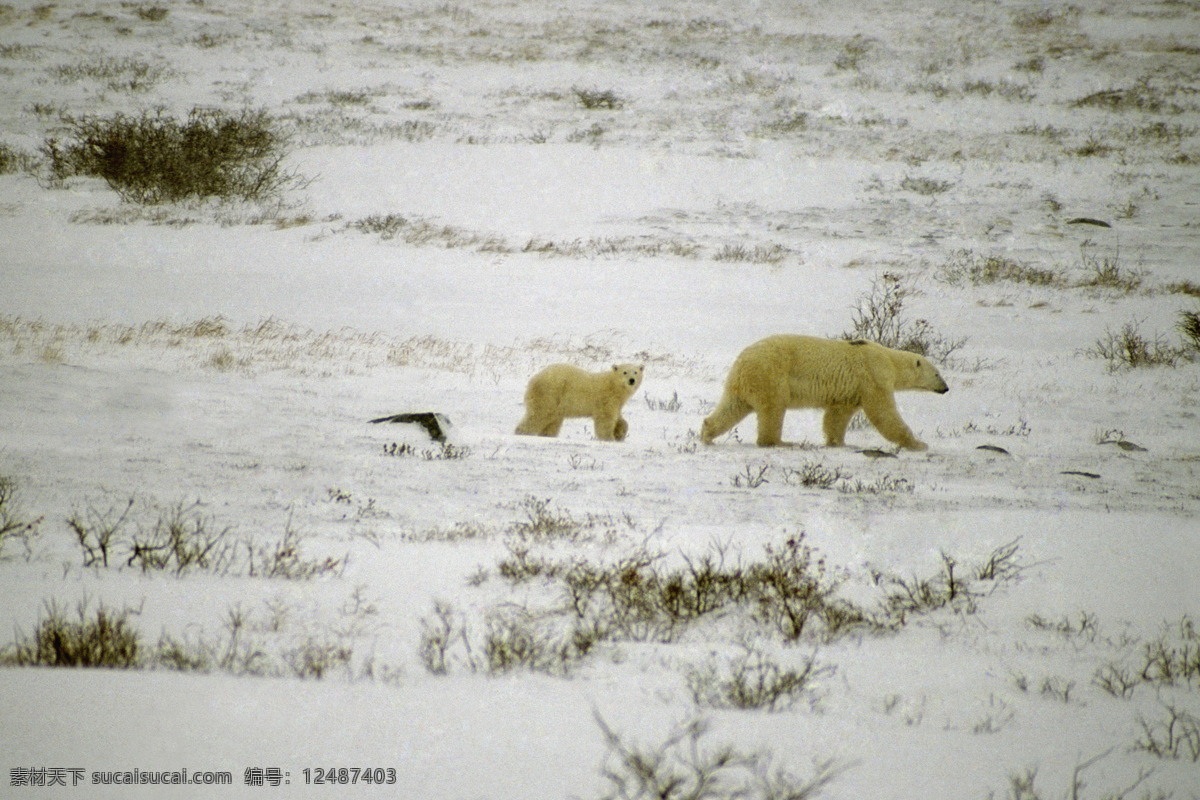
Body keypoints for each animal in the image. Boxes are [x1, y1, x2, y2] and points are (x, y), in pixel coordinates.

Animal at [700, 333, 945, 450]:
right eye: (937, 373)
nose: (946, 388)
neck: (889, 359)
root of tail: (742, 361)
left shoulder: (850, 391)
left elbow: (837, 415)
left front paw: (838, 442)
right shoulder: (873, 376)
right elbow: (883, 413)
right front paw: (919, 444)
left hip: (745, 383)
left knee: (732, 407)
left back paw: (707, 434)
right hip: (771, 376)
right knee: (773, 409)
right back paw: (782, 442)